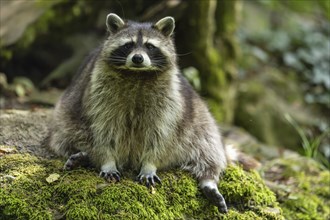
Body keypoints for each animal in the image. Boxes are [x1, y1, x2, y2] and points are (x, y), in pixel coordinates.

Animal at [47, 12, 256, 212]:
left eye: (150, 46)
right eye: (128, 45)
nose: (138, 58)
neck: (137, 74)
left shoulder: (169, 101)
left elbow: (161, 134)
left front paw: (150, 164)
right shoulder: (98, 94)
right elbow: (102, 129)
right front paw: (107, 160)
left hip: (198, 119)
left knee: (208, 146)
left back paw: (208, 178)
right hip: (66, 117)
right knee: (65, 136)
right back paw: (85, 156)